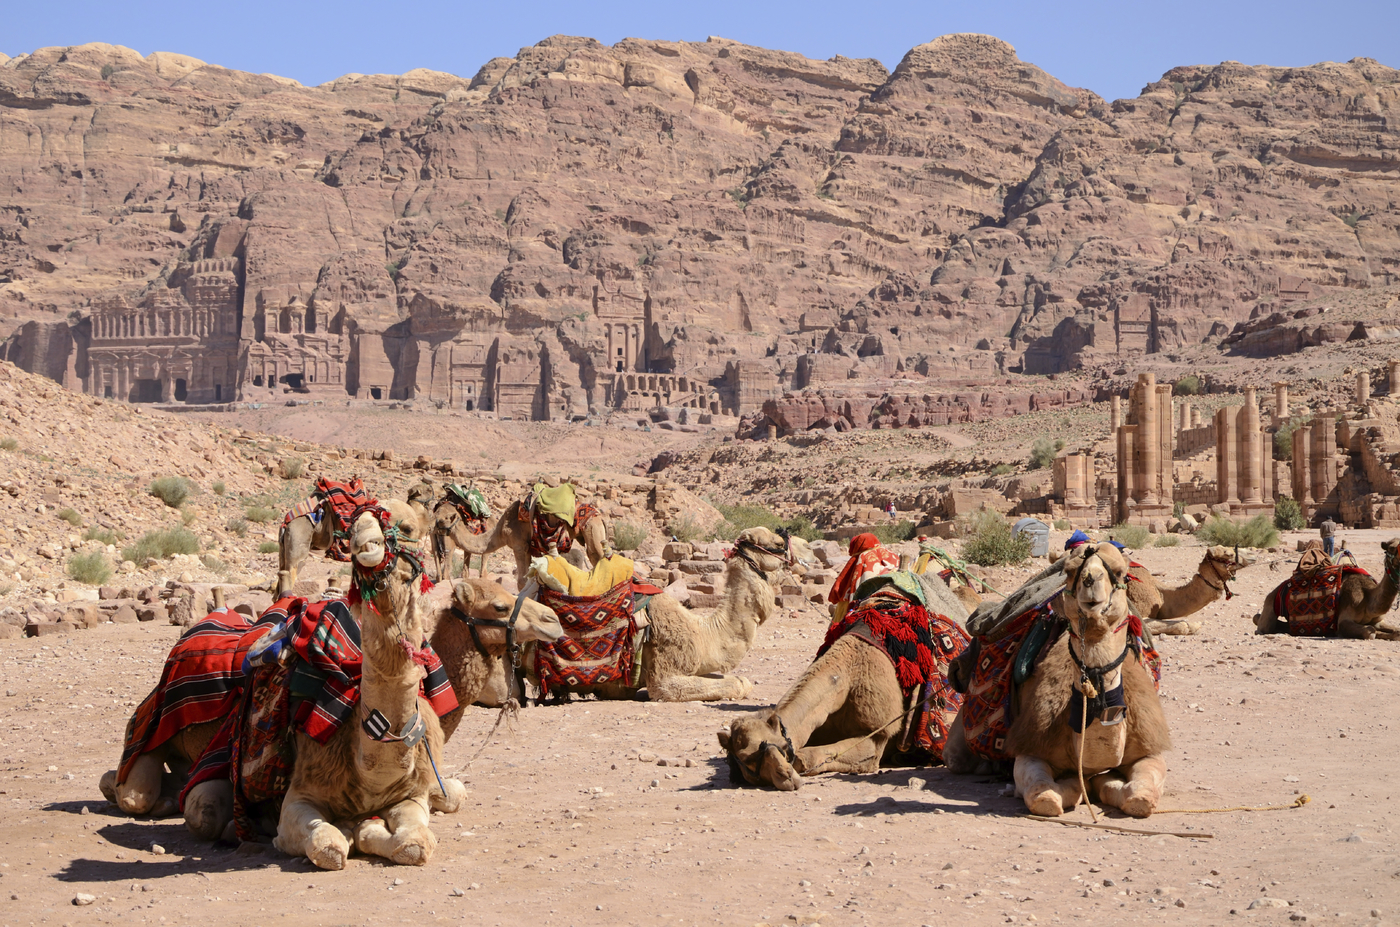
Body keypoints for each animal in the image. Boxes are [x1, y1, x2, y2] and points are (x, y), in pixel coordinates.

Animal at [718, 571, 970, 790]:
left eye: (781, 747)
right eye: (745, 760)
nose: (786, 779)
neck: (847, 676)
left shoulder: (877, 736)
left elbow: (804, 757)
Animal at [946, 541, 1172, 818]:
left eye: (1120, 573)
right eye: (1070, 571)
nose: (1090, 579)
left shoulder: (1149, 749)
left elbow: (1139, 796)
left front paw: (1107, 782)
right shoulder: (1031, 747)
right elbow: (1044, 796)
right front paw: (1073, 786)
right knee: (956, 757)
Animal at [1254, 538, 1400, 639]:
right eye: (1392, 548)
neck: (1367, 598)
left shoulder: (1378, 620)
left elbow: (1395, 631)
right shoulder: (1343, 621)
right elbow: (1370, 631)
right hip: (1270, 603)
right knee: (1262, 624)